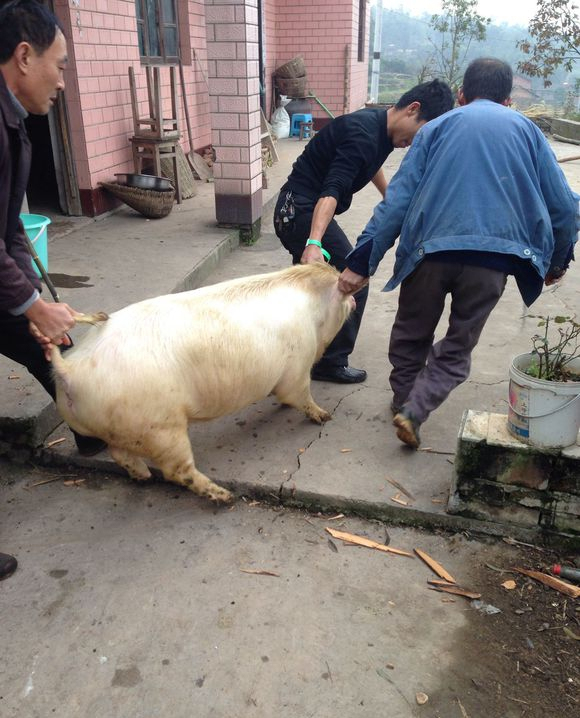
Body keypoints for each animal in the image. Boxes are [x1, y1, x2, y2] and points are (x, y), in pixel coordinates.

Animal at [53, 262, 354, 504]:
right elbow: (299, 394)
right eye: (345, 297)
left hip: (123, 427)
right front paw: (325, 416)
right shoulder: (299, 363)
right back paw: (225, 497)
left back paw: (143, 477)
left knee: (120, 454)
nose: (354, 300)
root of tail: (70, 369)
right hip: (161, 427)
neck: (314, 309)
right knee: (177, 471)